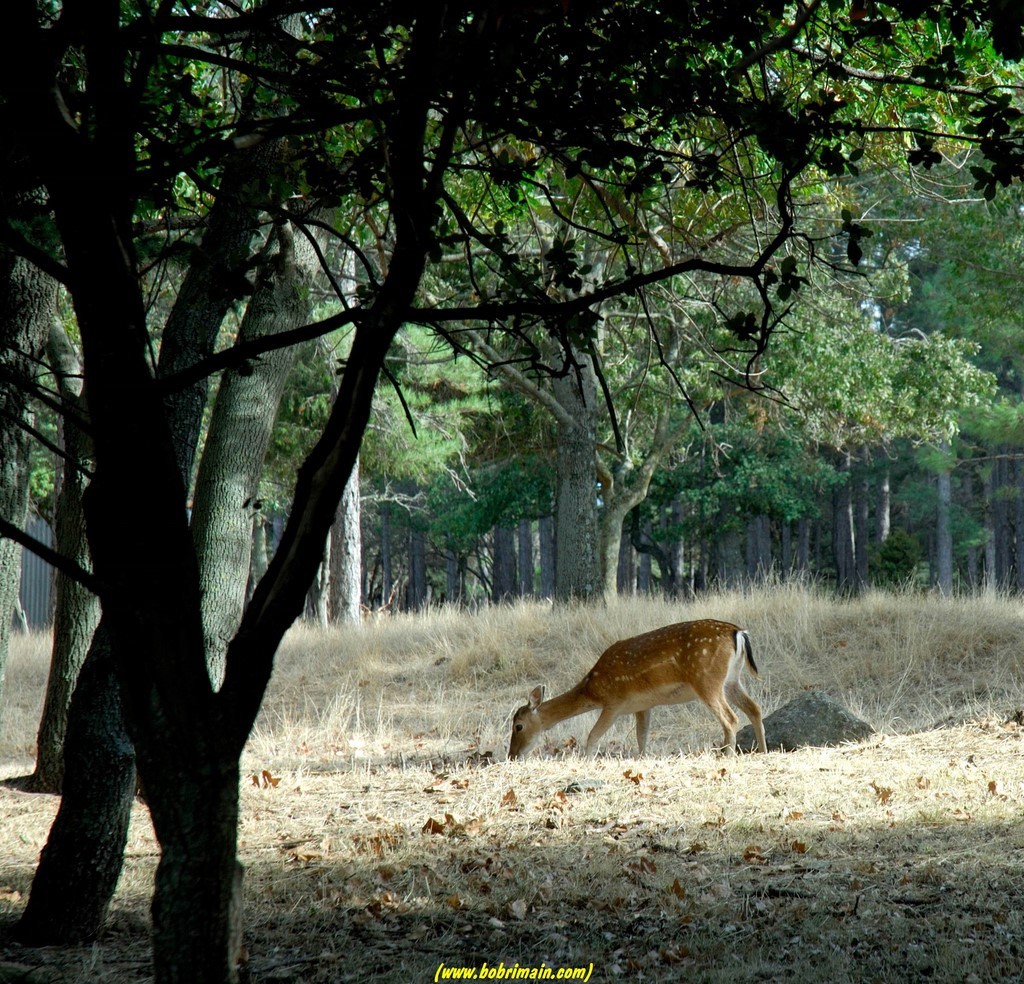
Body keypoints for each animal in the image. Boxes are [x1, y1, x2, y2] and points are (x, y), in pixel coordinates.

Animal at [507, 622, 765, 761]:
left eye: (518, 725)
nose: (512, 755)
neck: (592, 689)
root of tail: (739, 633)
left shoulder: (614, 703)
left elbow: (592, 735)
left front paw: (585, 761)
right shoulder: (643, 705)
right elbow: (642, 737)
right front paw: (642, 759)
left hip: (706, 679)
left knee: (731, 718)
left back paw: (727, 756)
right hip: (731, 681)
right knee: (754, 709)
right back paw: (762, 752)